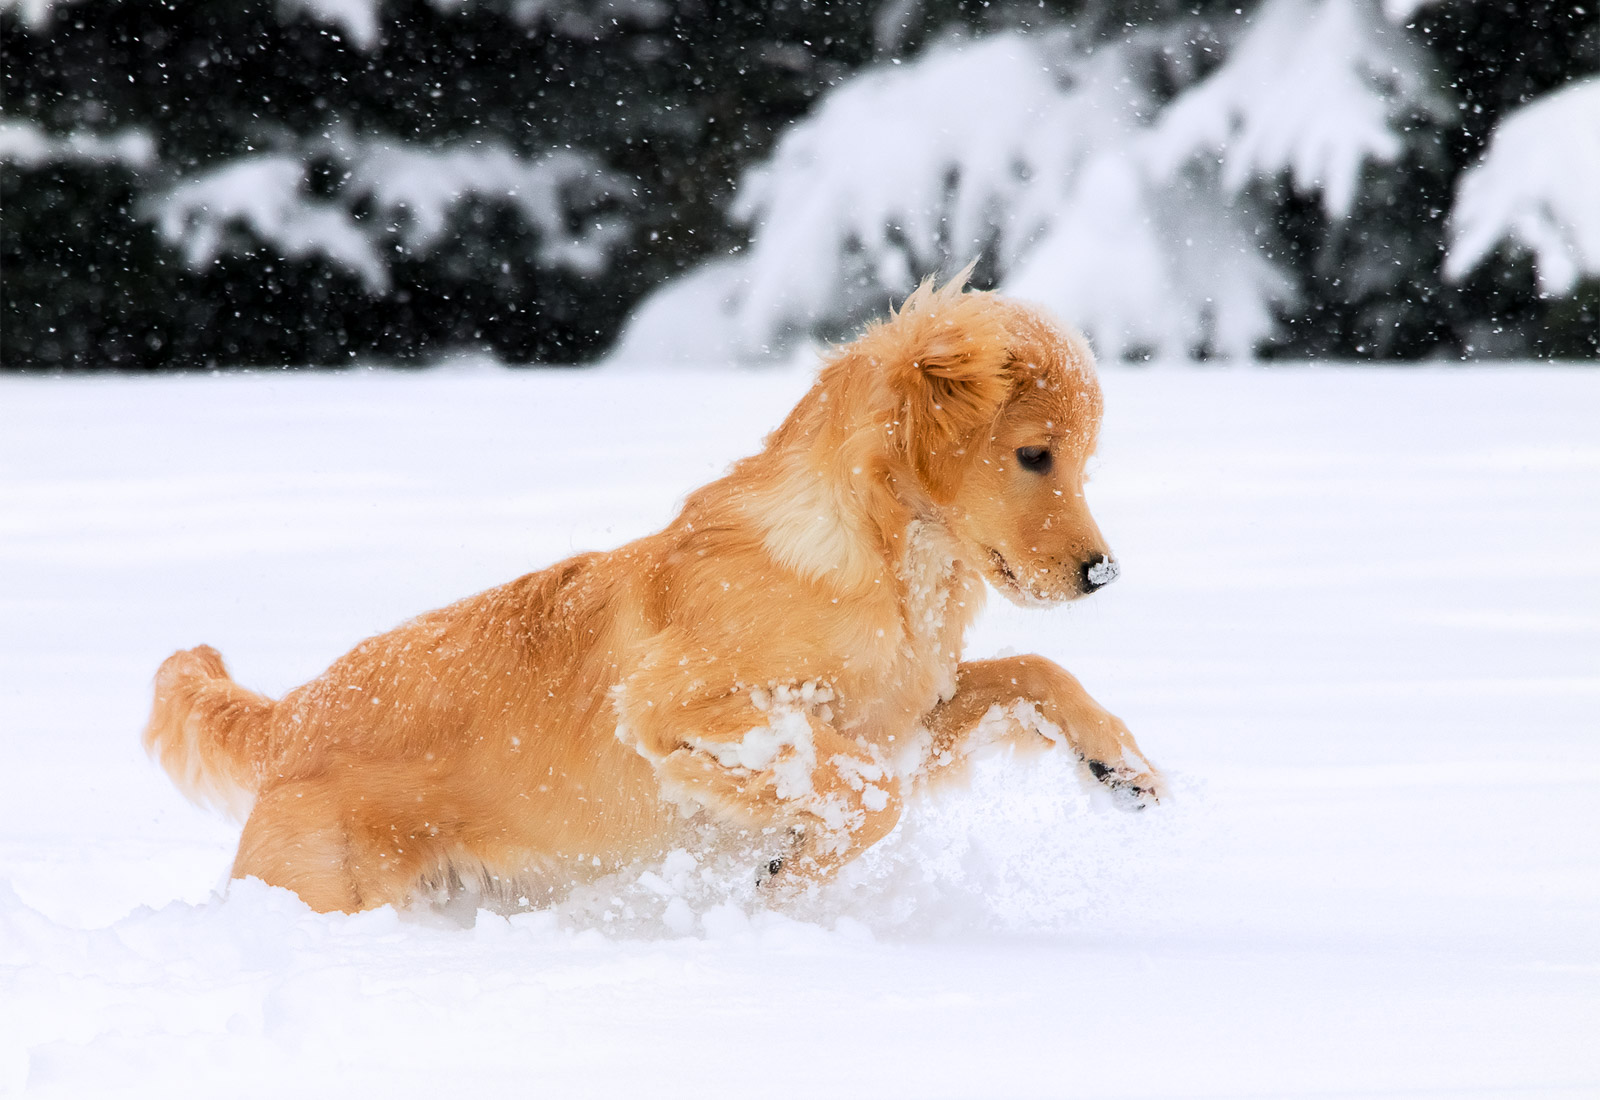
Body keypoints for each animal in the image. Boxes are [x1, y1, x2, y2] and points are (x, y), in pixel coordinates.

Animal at [147, 279, 1164, 914]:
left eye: (1081, 462)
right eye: (1033, 454)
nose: (1102, 573)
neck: (875, 564)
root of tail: (291, 716)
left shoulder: (902, 718)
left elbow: (1035, 668)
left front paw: (1122, 765)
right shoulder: (682, 710)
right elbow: (865, 795)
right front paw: (784, 876)